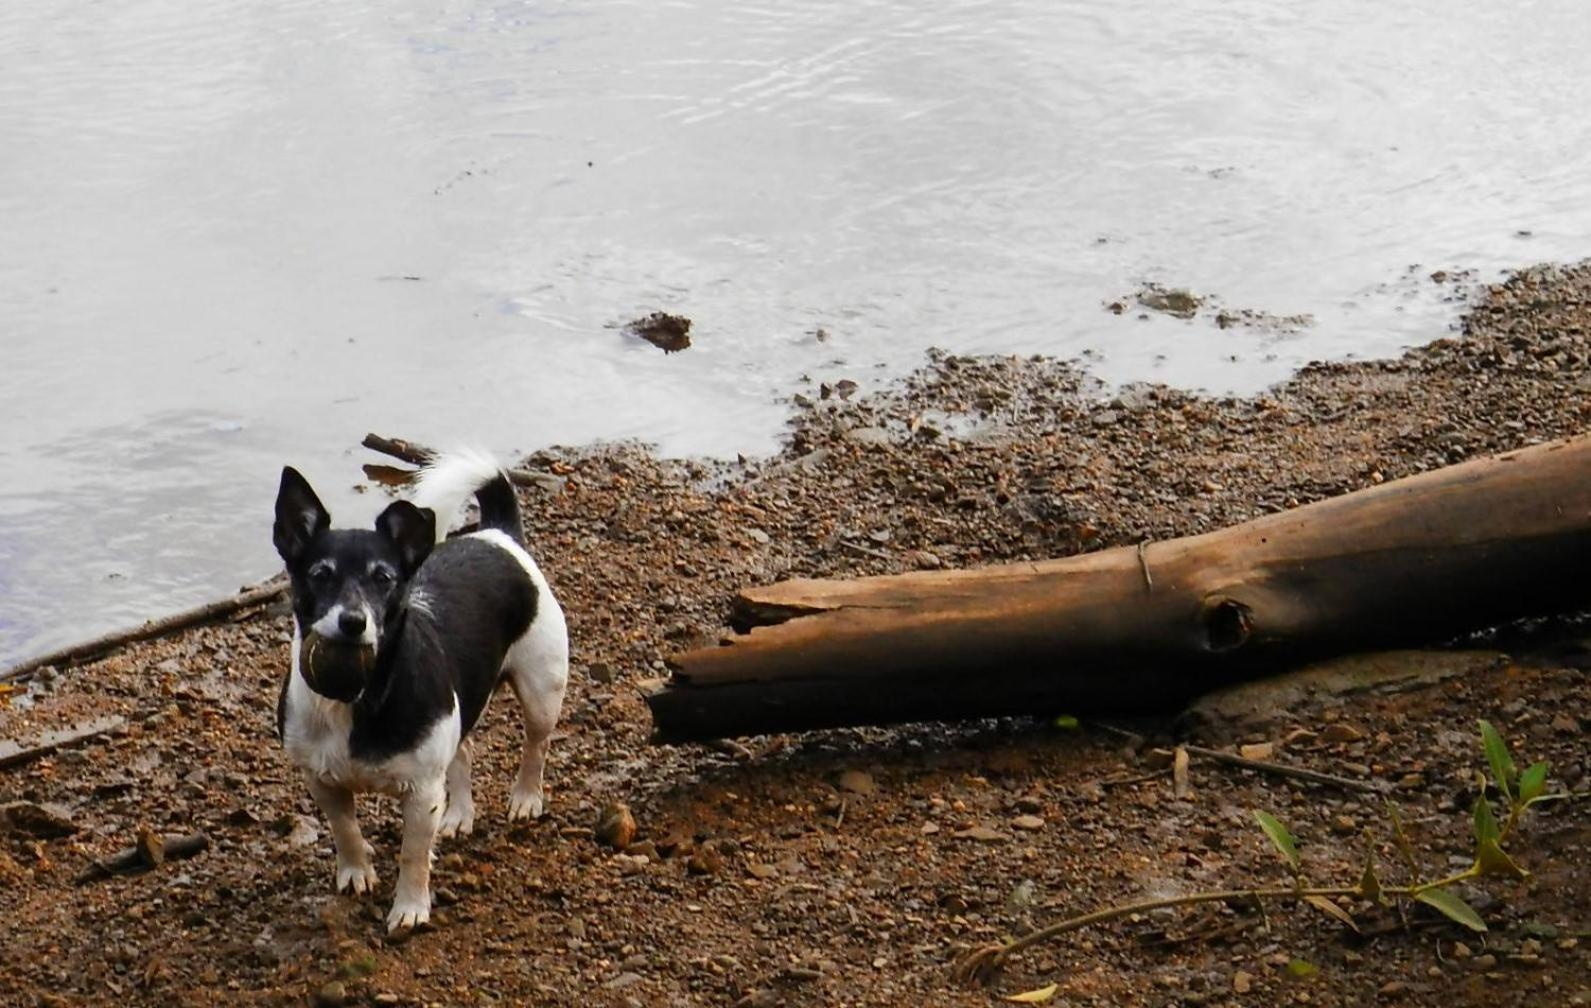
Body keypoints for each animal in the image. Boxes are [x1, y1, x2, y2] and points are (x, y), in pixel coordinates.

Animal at [270, 451, 569, 928]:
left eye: (384, 578)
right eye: (320, 574)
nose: (352, 622)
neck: (358, 698)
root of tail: (497, 535)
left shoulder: (422, 792)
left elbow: (413, 854)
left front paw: (410, 908)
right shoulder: (321, 781)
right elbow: (345, 830)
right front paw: (356, 871)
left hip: (542, 692)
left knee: (536, 747)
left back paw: (526, 798)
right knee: (464, 752)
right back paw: (460, 814)